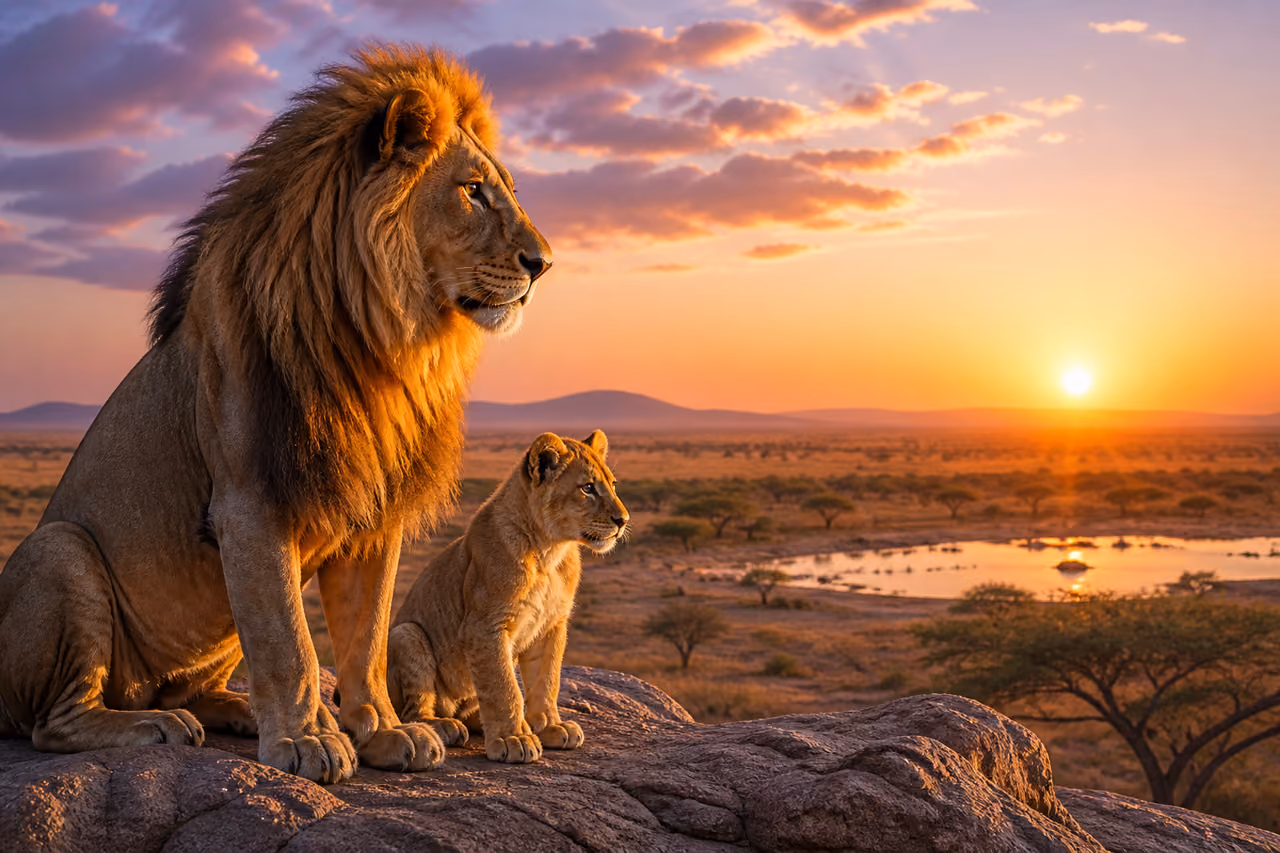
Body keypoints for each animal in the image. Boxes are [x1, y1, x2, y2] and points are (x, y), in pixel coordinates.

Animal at [0, 44, 551, 784]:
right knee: (55, 721)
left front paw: (380, 729)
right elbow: (290, 639)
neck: (382, 346)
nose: (542, 263)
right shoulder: (249, 505)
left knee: (188, 686)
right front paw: (307, 740)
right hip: (59, 550)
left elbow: (365, 639)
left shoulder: (375, 514)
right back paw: (152, 726)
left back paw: (231, 708)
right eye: (472, 190)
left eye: (506, 188)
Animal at [386, 430, 628, 763]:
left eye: (613, 485)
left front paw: (549, 726)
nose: (623, 520)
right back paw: (444, 726)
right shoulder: (484, 627)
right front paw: (514, 739)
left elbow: (546, 681)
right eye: (588, 488)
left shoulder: (552, 626)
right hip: (406, 634)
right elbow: (504, 686)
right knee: (414, 711)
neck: (549, 551)